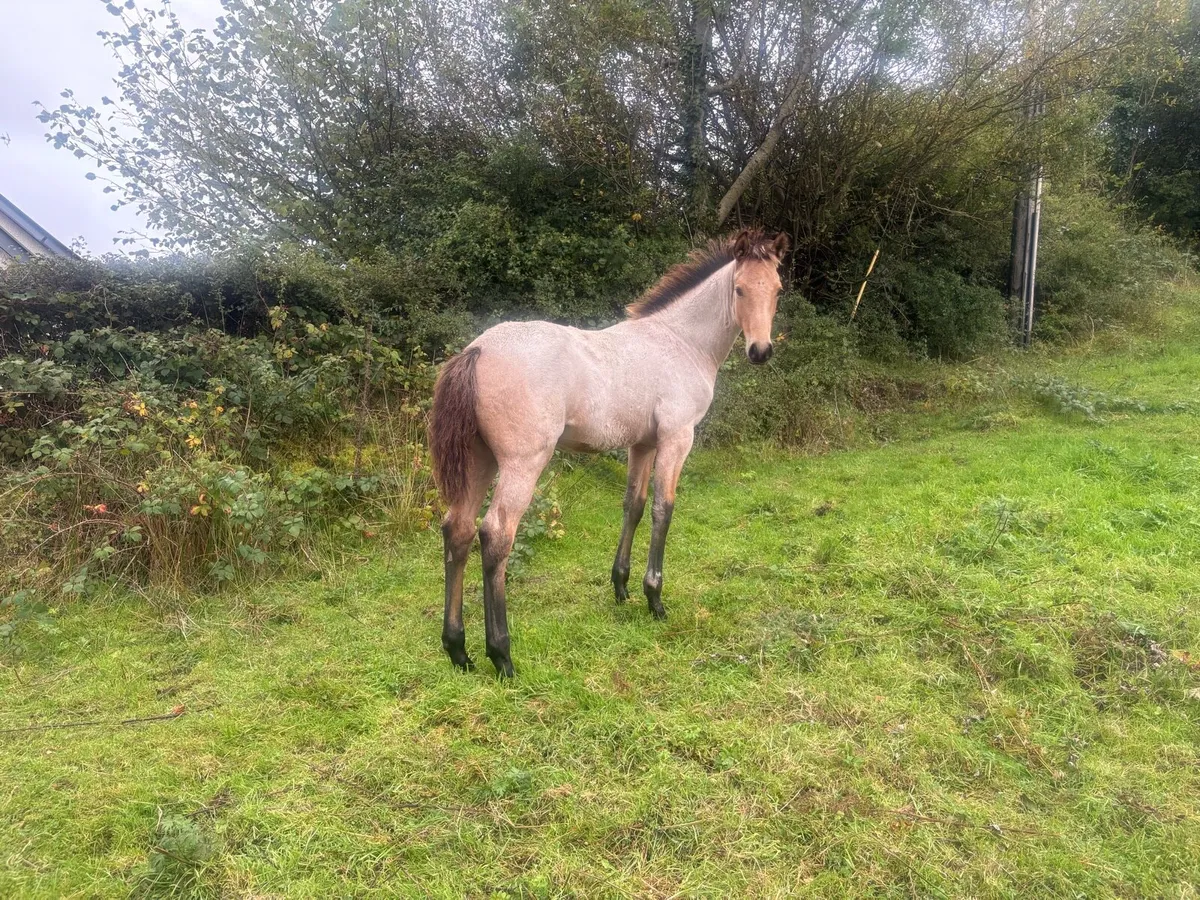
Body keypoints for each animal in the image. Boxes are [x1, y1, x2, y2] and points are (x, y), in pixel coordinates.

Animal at [429, 228, 789, 676]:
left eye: (777, 289)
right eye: (739, 289)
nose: (760, 351)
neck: (681, 341)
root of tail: (476, 351)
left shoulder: (643, 444)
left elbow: (633, 505)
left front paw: (620, 586)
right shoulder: (677, 438)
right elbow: (663, 509)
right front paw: (654, 598)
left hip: (480, 461)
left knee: (457, 530)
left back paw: (457, 650)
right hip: (522, 464)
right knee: (496, 536)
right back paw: (502, 655)